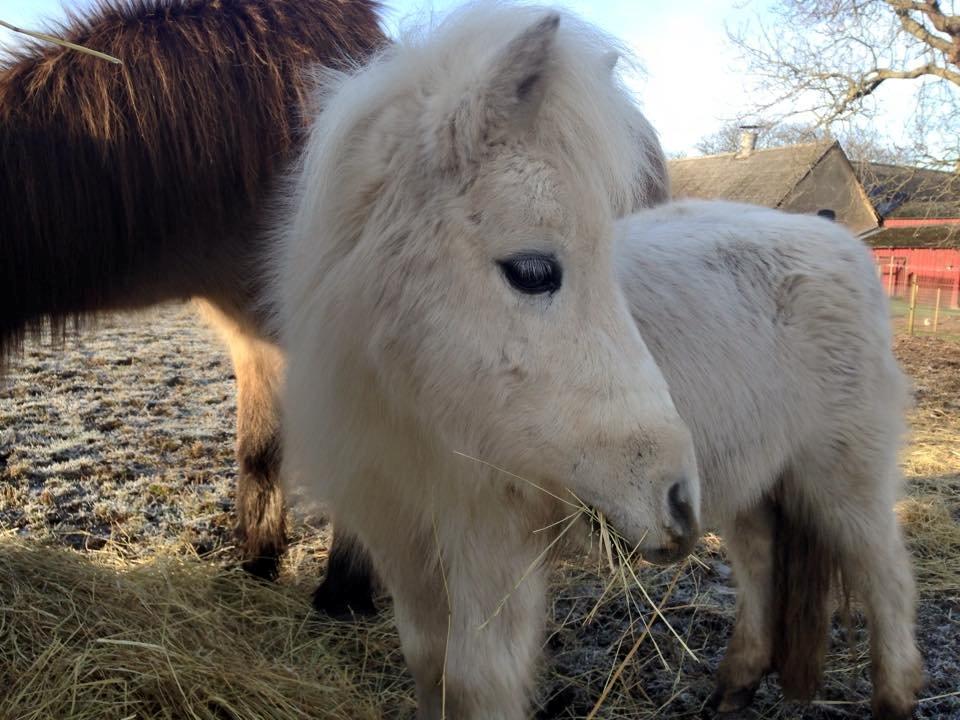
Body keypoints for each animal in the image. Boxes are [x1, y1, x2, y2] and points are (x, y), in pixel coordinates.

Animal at [274, 5, 700, 720]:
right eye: (531, 270)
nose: (681, 499)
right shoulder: (397, 528)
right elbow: (429, 658)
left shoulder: (496, 538)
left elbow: (479, 676)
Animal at [616, 198, 924, 720]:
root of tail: (840, 240)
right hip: (750, 474)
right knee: (760, 564)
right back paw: (737, 682)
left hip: (844, 477)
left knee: (886, 574)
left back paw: (894, 699)